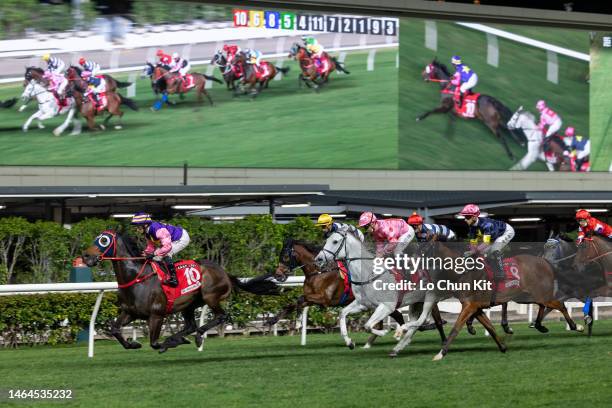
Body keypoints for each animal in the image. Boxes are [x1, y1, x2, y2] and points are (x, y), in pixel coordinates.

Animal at [82, 231, 278, 352]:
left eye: (104, 240)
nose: (85, 256)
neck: (136, 277)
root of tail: (225, 272)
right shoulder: (130, 312)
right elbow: (114, 329)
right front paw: (133, 344)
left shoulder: (157, 315)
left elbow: (154, 343)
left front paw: (169, 342)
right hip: (189, 305)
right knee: (190, 325)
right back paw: (181, 338)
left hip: (210, 296)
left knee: (220, 316)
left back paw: (195, 337)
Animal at [270, 237, 448, 346]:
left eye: (285, 256)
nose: (278, 275)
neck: (320, 271)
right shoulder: (312, 296)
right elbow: (294, 302)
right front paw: (273, 320)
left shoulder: (325, 298)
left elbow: (299, 300)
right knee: (397, 316)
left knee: (436, 320)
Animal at [426, 242, 584, 360]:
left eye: (425, 252)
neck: (463, 272)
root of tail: (545, 261)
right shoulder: (475, 307)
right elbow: (490, 327)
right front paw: (503, 347)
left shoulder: (470, 305)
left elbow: (456, 328)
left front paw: (441, 353)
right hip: (527, 296)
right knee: (543, 305)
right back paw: (539, 325)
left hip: (538, 294)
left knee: (560, 305)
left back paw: (575, 326)